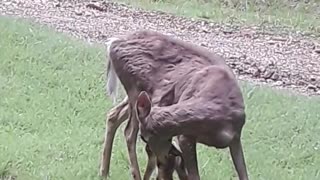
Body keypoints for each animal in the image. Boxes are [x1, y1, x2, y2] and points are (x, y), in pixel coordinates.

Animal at [99, 30, 249, 179]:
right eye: (144, 138)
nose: (165, 158)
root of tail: (113, 42)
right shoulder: (184, 137)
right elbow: (193, 175)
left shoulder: (236, 137)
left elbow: (243, 173)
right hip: (134, 89)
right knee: (129, 132)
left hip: (140, 95)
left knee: (113, 114)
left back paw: (104, 172)